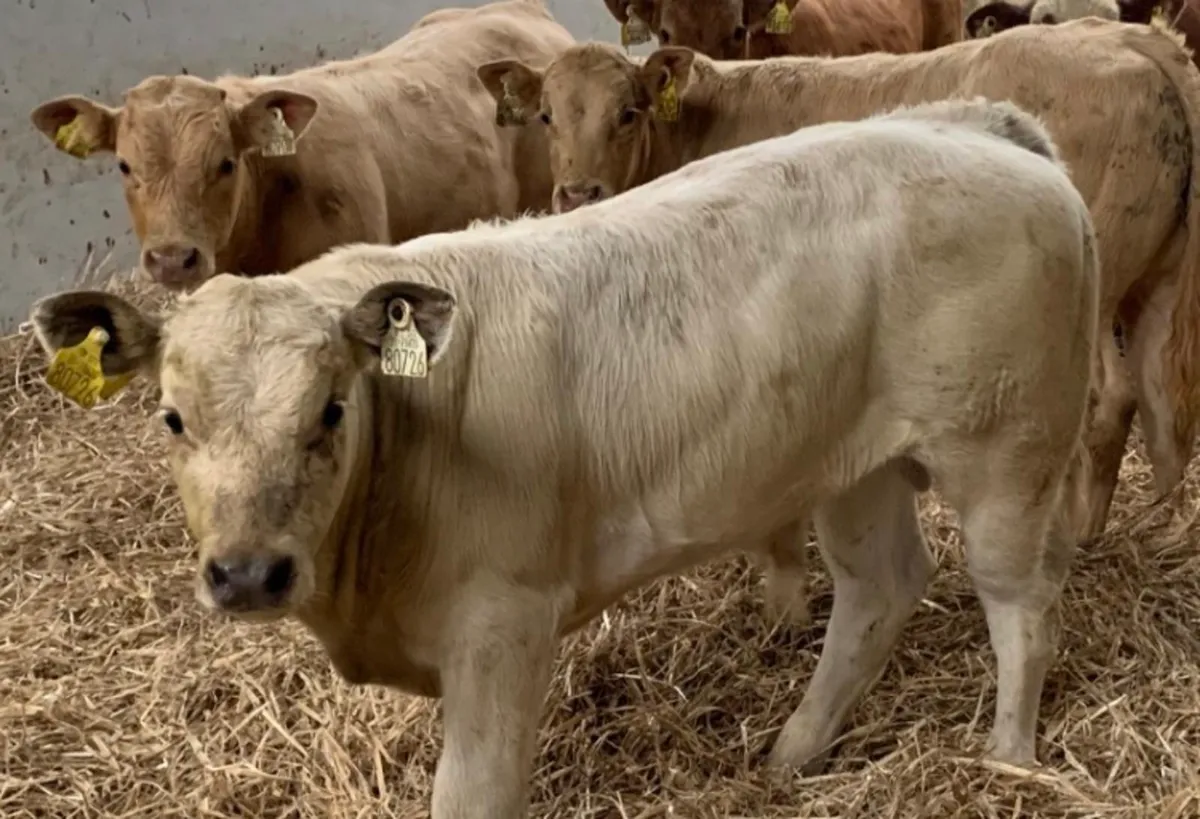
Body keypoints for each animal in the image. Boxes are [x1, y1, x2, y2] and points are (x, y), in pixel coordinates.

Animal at [31, 95, 1099, 818]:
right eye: (171, 419)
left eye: (330, 409)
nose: (248, 573)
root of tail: (970, 123)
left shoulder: (504, 627)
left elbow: (476, 792)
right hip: (849, 464)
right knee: (882, 585)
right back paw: (792, 753)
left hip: (1006, 452)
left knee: (1021, 604)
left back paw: (1007, 757)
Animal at [477, 19, 1200, 590]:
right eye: (547, 115)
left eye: (628, 112)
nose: (577, 192)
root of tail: (1134, 38)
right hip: (1154, 284)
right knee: (1149, 404)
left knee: (1100, 404)